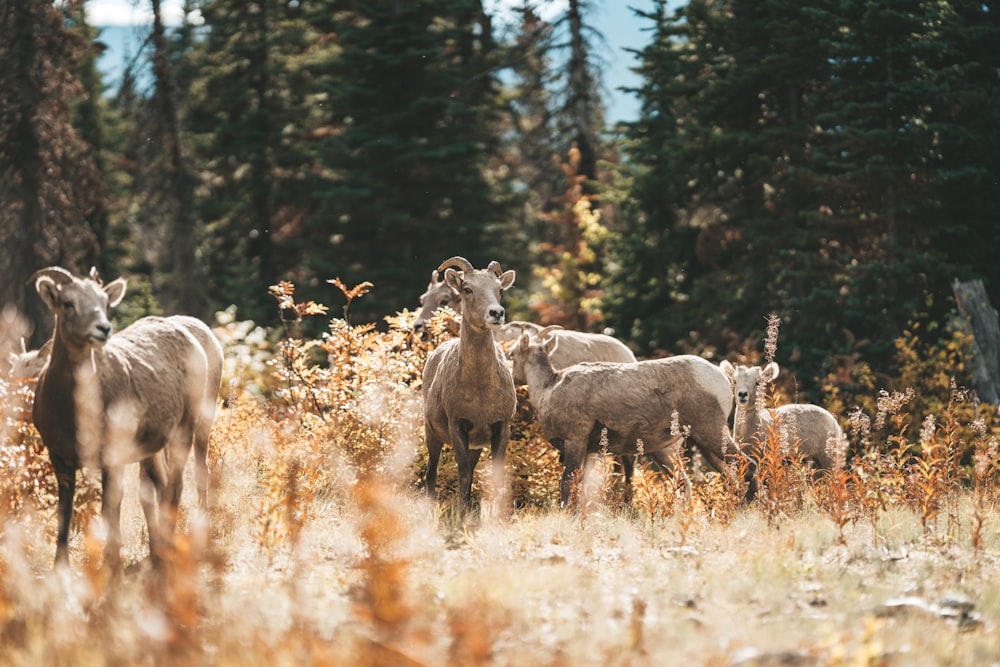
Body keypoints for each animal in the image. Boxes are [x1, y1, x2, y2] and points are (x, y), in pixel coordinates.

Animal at [30, 266, 223, 568]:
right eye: (68, 303)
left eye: (104, 303)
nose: (103, 329)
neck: (71, 412)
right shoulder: (60, 458)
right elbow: (65, 514)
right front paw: (61, 568)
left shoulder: (112, 458)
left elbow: (110, 511)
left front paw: (112, 566)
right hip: (154, 448)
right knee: (160, 487)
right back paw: (158, 550)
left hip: (192, 426)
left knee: (183, 483)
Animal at [420, 256, 516, 506]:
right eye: (467, 289)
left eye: (499, 289)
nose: (496, 313)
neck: (480, 390)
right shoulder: (457, 427)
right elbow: (463, 473)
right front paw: (462, 510)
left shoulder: (501, 428)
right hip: (431, 434)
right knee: (431, 471)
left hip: (475, 446)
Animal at [512, 334, 752, 506]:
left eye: (512, 354)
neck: (548, 389)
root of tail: (724, 379)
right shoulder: (589, 451)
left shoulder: (575, 441)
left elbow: (567, 482)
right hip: (691, 446)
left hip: (711, 432)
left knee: (748, 464)